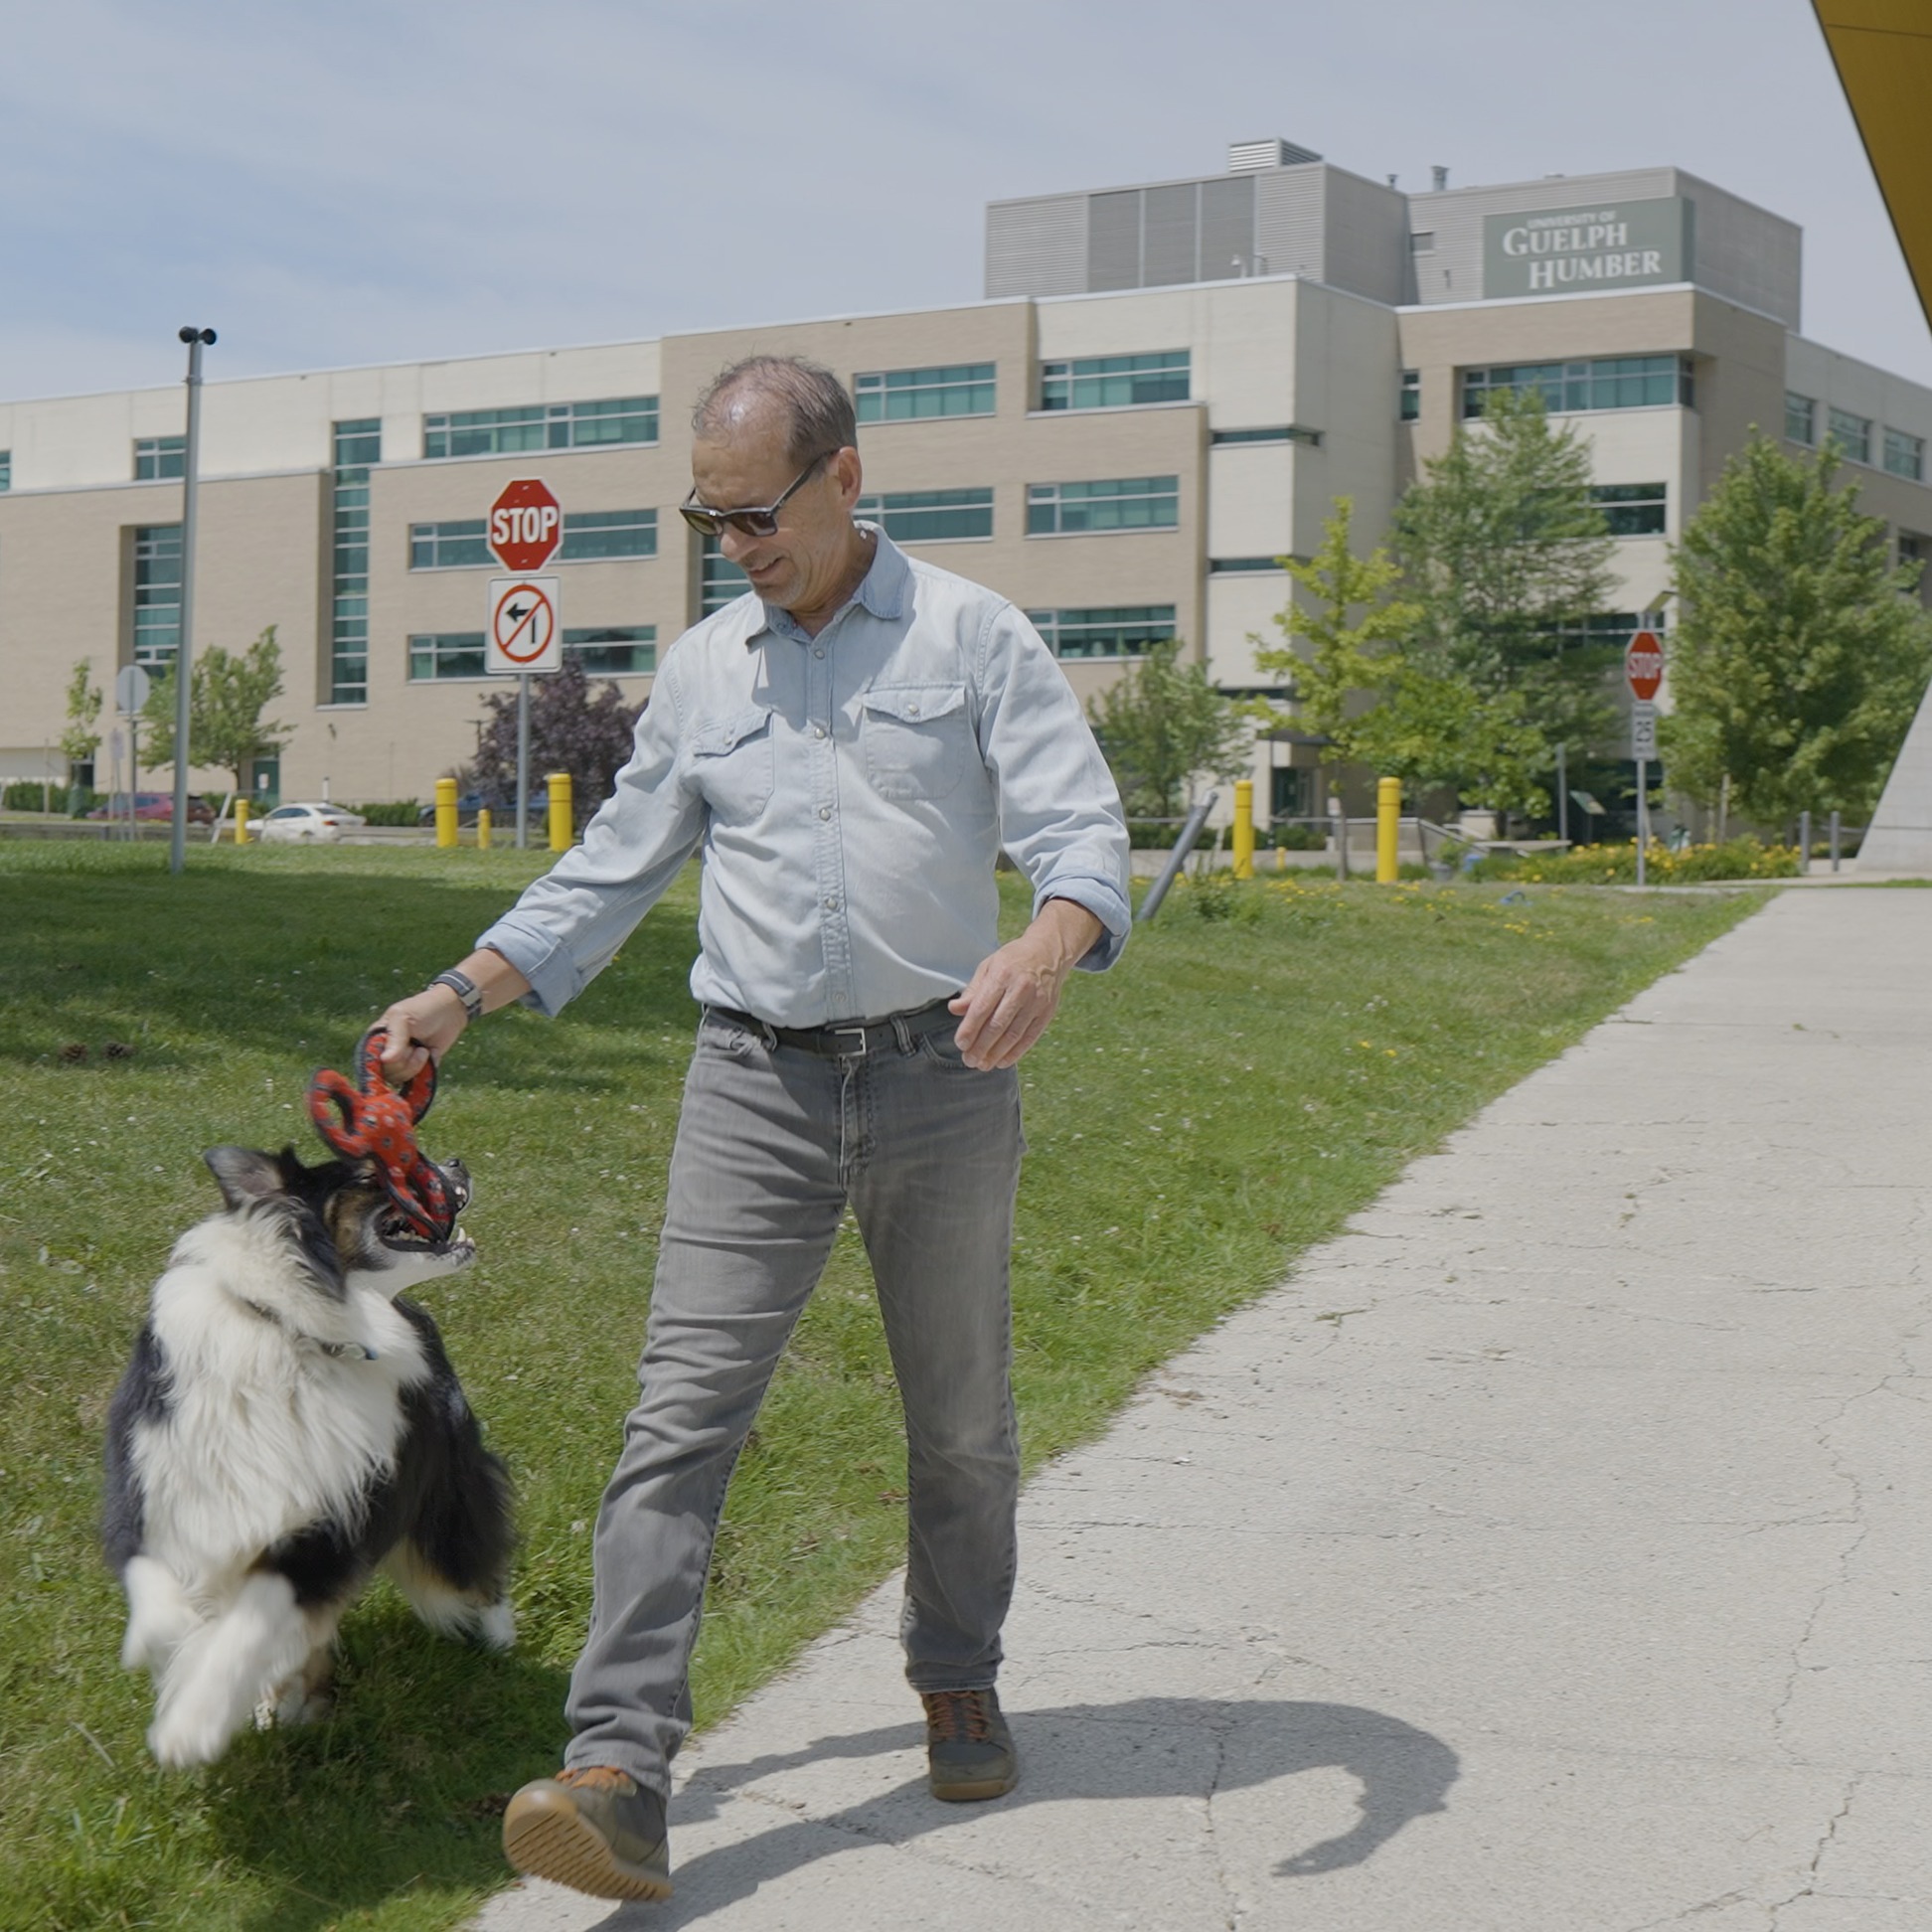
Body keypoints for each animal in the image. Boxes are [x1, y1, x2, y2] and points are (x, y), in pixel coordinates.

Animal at [104, 1143, 514, 1769]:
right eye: (376, 1173)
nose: (456, 1163)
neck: (294, 1331)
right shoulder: (158, 1488)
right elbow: (158, 1592)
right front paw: (174, 1644)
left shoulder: (326, 1528)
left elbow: (249, 1624)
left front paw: (189, 1726)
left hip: (446, 1491)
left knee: (472, 1556)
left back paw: (500, 1639)